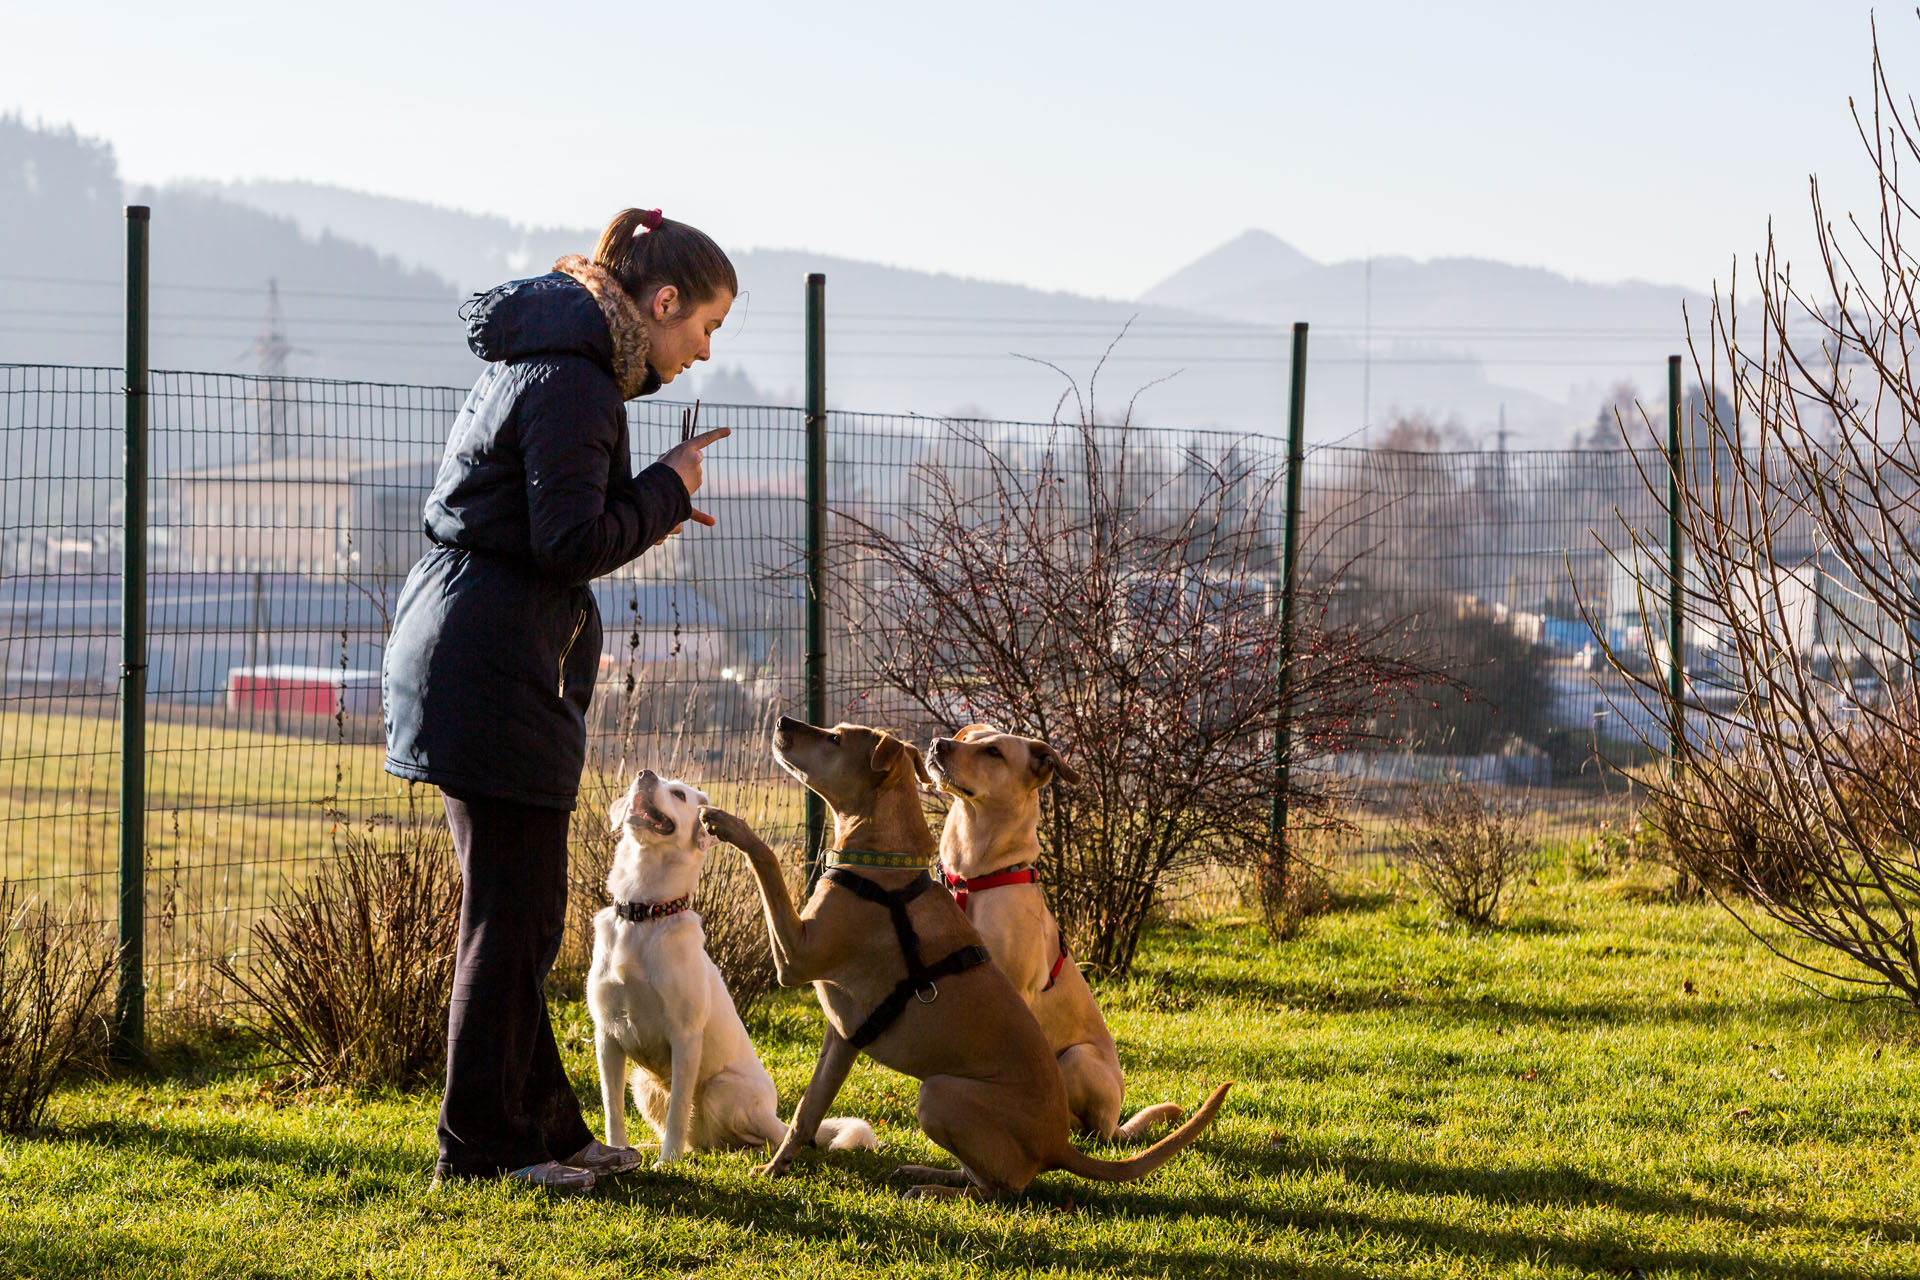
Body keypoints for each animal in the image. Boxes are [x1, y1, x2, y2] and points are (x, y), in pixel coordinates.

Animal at [587, 767, 879, 1166]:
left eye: (678, 794)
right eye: (647, 779)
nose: (644, 774)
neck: (643, 916)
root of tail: (776, 1118)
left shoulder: (684, 1037)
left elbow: (678, 1109)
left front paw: (667, 1163)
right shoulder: (607, 1036)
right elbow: (611, 1108)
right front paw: (619, 1152)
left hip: (721, 1089)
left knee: (758, 1140)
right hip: (643, 1084)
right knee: (699, 1141)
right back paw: (653, 1149)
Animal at [921, 725, 1175, 1143]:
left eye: (993, 751)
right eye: (969, 736)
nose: (937, 744)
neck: (974, 878)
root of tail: (1118, 1124)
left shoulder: (1015, 990)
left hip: (1078, 1058)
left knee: (1091, 1127)